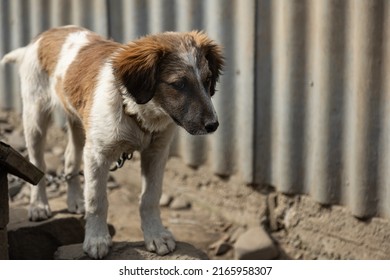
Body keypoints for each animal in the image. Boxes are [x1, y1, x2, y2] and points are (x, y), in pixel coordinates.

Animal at [0, 25, 222, 258]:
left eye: (207, 80)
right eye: (178, 84)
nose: (213, 125)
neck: (137, 111)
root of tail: (45, 34)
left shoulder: (156, 153)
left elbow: (150, 198)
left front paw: (156, 235)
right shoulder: (97, 155)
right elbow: (97, 200)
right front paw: (97, 239)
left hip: (79, 124)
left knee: (70, 160)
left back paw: (74, 200)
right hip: (35, 117)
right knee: (38, 165)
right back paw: (38, 205)